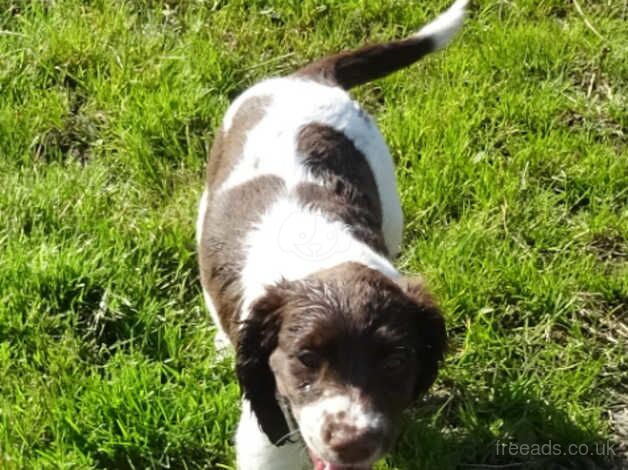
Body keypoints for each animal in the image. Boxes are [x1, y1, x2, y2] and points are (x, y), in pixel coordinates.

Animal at [199, 1, 468, 468]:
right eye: (306, 358)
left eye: (395, 361)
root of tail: (307, 77)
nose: (352, 443)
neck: (318, 253)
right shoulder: (265, 440)